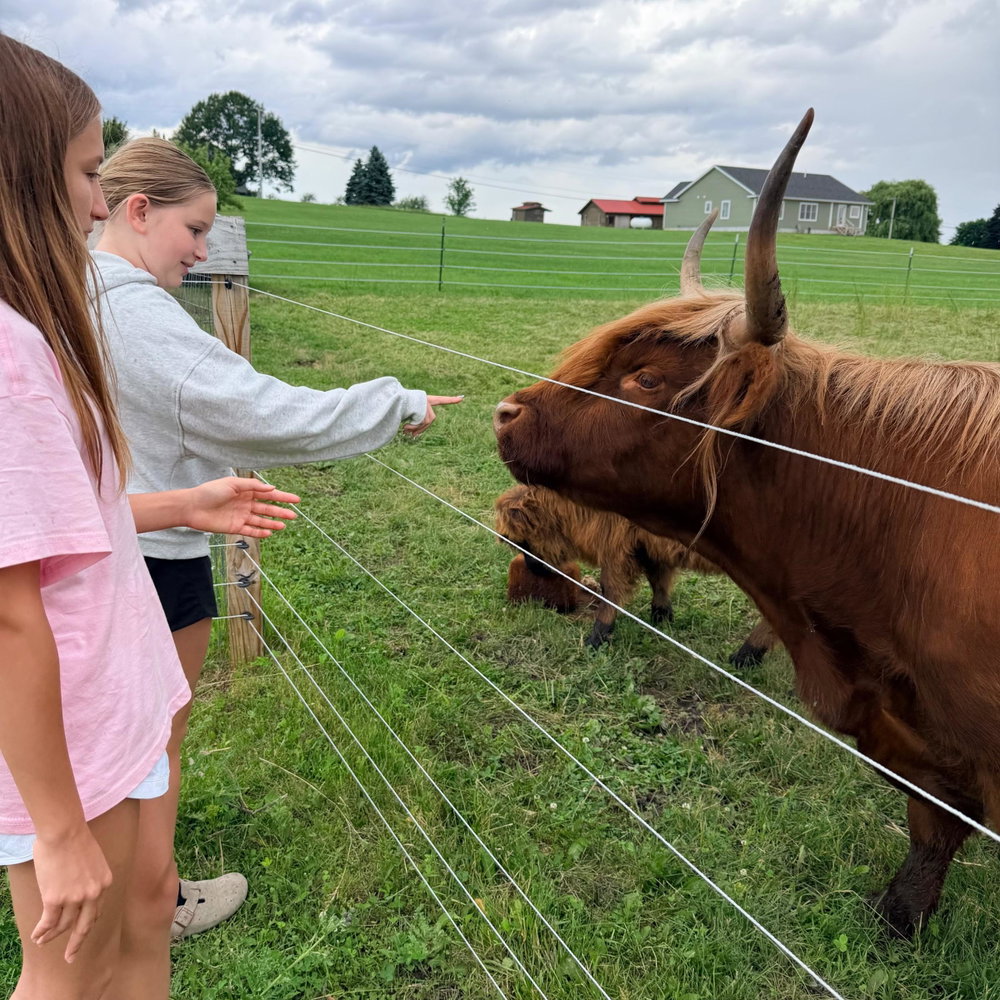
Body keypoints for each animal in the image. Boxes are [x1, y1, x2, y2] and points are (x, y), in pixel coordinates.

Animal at [496, 483, 777, 663]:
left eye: (524, 542)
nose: (533, 568)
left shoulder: (616, 544)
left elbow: (611, 590)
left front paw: (597, 637)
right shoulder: (647, 546)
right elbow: (658, 580)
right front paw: (662, 616)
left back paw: (745, 656)